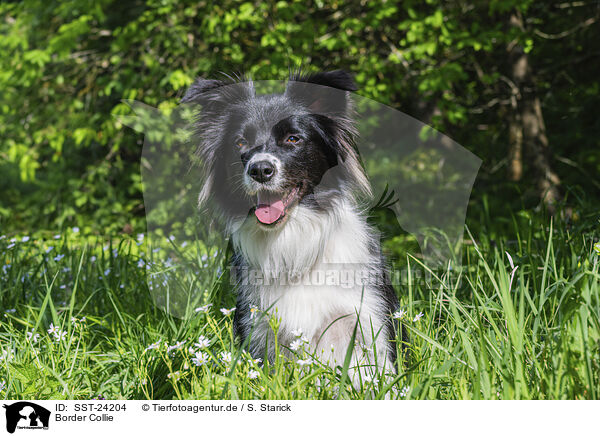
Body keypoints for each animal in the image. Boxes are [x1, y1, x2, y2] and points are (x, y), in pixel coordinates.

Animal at [180, 70, 400, 380]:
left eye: (293, 139)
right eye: (240, 143)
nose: (260, 170)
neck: (291, 239)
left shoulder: (366, 317)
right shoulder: (260, 328)